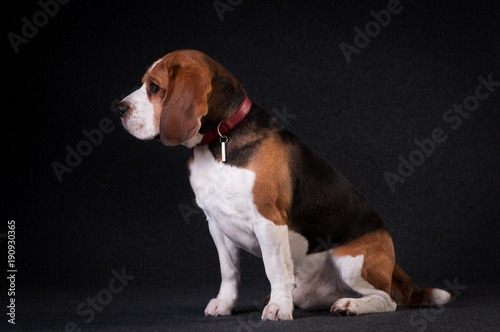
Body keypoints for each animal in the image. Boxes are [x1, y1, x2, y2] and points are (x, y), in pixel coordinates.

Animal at [115, 48, 452, 320]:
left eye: (154, 88)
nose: (118, 108)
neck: (221, 138)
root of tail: (391, 259)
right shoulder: (216, 224)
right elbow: (229, 271)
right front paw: (224, 304)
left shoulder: (269, 220)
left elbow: (274, 268)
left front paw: (277, 308)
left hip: (351, 262)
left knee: (386, 300)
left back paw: (350, 305)